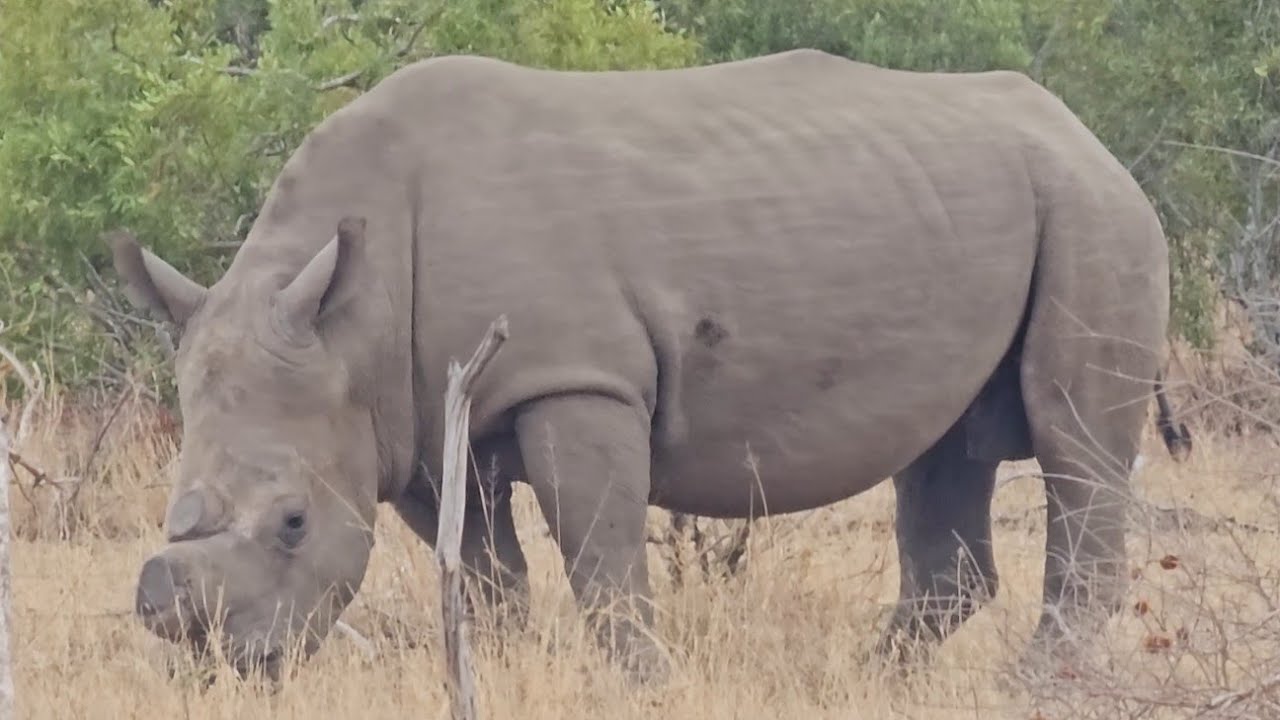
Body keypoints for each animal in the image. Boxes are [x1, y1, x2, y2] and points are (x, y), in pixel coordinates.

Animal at [111, 49, 1191, 682]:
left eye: (293, 523)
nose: (228, 663)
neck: (350, 312)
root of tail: (1084, 134)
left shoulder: (574, 376)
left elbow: (600, 551)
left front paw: (644, 683)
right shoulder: (400, 419)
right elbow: (484, 569)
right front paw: (501, 670)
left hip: (1093, 211)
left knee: (1072, 437)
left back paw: (1033, 683)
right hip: (984, 206)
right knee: (942, 452)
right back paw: (866, 681)